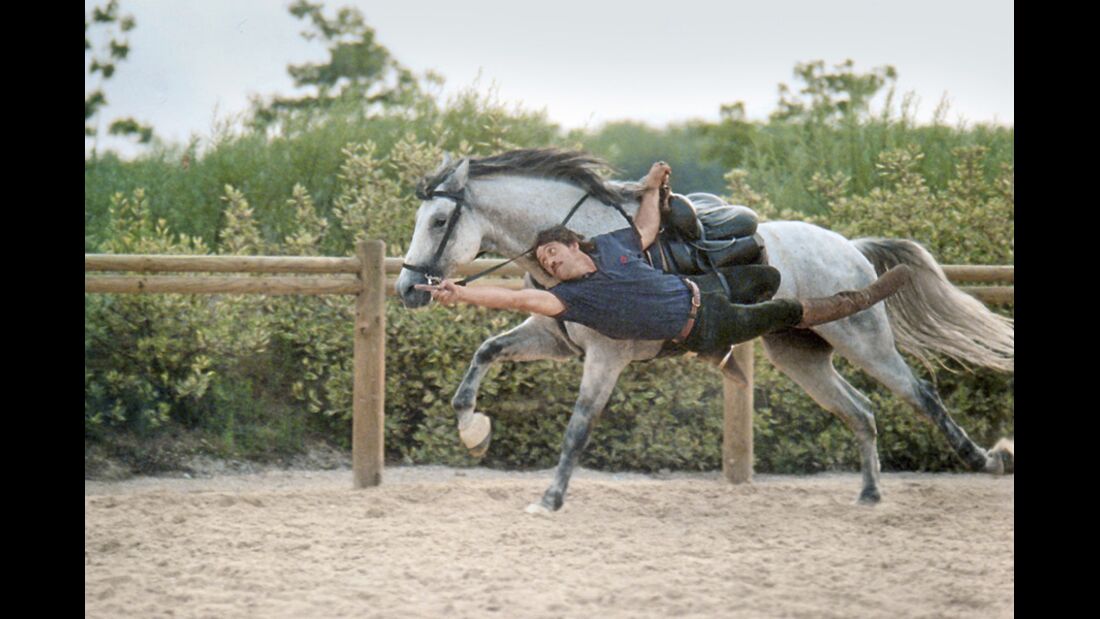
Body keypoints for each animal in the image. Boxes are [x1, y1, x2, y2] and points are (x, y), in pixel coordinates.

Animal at [396, 148, 1012, 514]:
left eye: (439, 220)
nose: (407, 289)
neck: (586, 248)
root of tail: (850, 248)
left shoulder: (607, 356)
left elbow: (578, 427)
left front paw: (549, 498)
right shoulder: (552, 337)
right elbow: (485, 353)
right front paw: (473, 430)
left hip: (864, 340)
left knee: (921, 395)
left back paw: (985, 460)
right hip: (801, 355)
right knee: (861, 411)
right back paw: (869, 492)